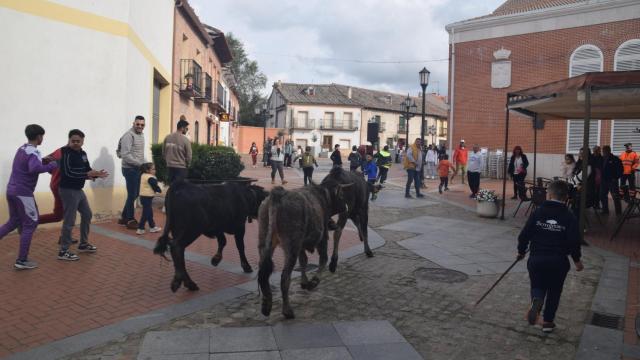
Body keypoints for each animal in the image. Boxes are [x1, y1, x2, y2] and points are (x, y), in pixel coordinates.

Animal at [256, 180, 350, 318]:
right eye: (342, 195)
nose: (346, 207)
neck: (323, 196)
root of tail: (279, 193)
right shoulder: (322, 238)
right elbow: (323, 259)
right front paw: (313, 282)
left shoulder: (301, 246)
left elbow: (303, 261)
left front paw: (304, 282)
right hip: (291, 246)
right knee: (284, 278)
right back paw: (287, 311)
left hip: (264, 240)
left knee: (263, 272)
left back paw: (266, 304)